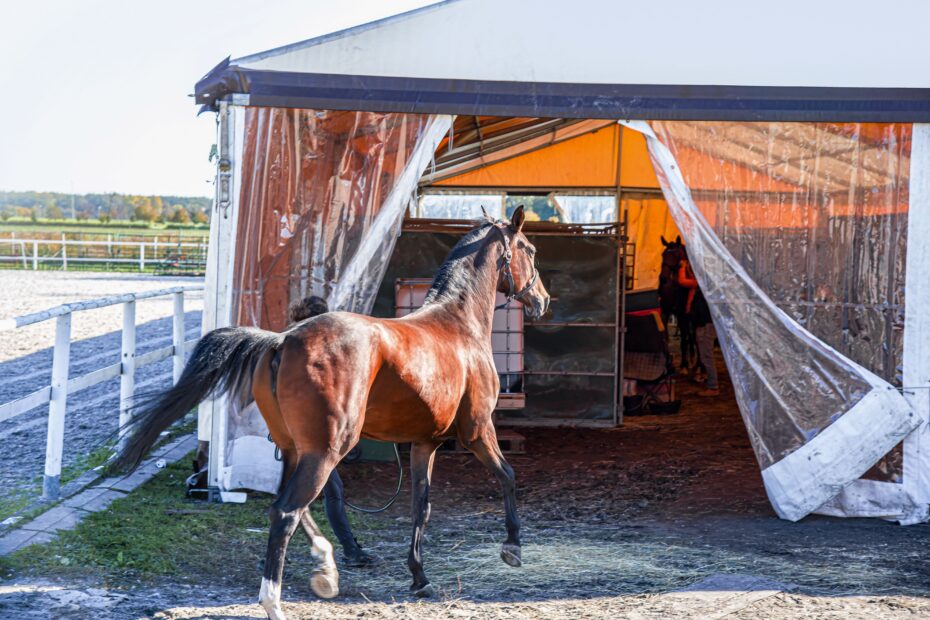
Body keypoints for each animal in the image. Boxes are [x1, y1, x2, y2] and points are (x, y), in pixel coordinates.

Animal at [111, 205, 548, 620]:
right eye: (529, 250)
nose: (542, 300)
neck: (457, 325)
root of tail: (282, 340)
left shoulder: (425, 444)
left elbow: (420, 508)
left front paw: (419, 578)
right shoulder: (477, 430)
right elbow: (508, 476)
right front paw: (512, 548)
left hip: (294, 450)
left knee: (287, 506)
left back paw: (325, 567)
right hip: (326, 451)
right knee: (286, 511)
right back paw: (276, 601)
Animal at [656, 236, 692, 372]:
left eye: (676, 255)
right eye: (663, 254)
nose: (662, 279)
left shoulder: (682, 315)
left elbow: (684, 339)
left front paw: (684, 364)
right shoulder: (665, 313)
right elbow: (665, 338)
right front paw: (667, 363)